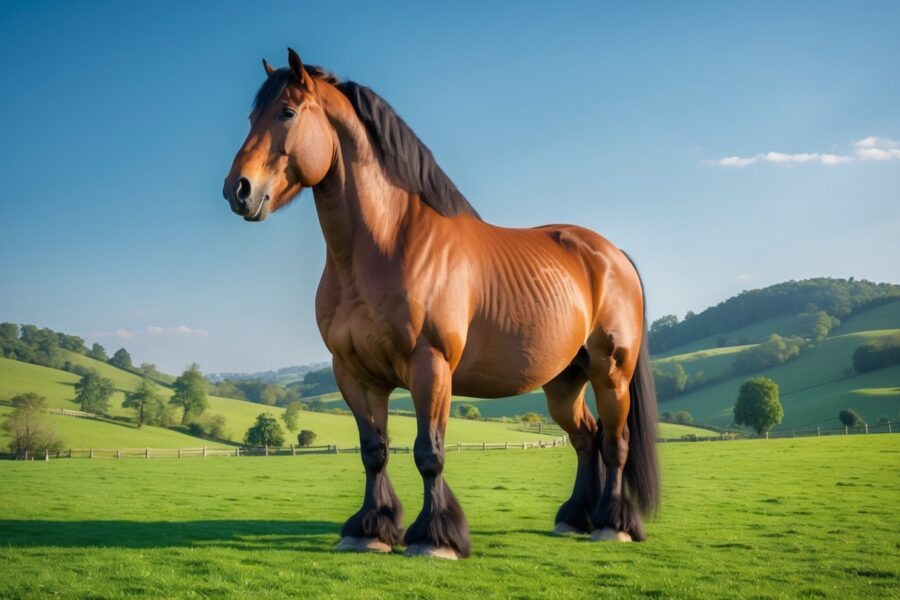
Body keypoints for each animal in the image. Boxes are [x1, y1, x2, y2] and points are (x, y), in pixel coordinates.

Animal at [223, 49, 660, 559]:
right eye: (252, 117)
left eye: (287, 112)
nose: (238, 189)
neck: (386, 245)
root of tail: (611, 255)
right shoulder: (354, 372)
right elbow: (374, 451)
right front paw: (369, 530)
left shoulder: (430, 366)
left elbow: (429, 453)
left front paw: (435, 537)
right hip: (563, 382)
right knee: (586, 439)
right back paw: (574, 519)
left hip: (612, 372)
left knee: (615, 443)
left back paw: (613, 524)